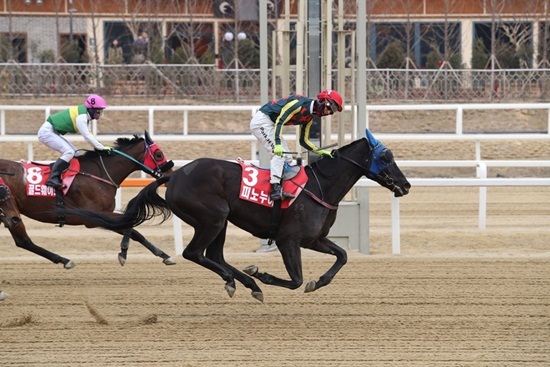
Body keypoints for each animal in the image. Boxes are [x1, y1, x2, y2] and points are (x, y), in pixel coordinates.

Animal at [0, 131, 175, 272]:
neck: (98, 173)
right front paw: (125, 253)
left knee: (22, 241)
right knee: (24, 241)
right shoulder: (93, 217)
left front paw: (161, 254)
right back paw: (66, 260)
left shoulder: (104, 214)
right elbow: (131, 227)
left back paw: (63, 260)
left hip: (10, 213)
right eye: (158, 154)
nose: (170, 175)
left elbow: (132, 229)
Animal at [61, 129, 414, 302]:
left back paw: (243, 282)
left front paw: (319, 282)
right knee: (195, 253)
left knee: (214, 255)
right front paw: (265, 275)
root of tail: (173, 176)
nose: (407, 185)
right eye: (386, 157)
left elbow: (341, 255)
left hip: (221, 221)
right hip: (213, 217)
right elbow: (295, 279)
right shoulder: (288, 240)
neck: (320, 186)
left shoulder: (314, 239)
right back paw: (243, 280)